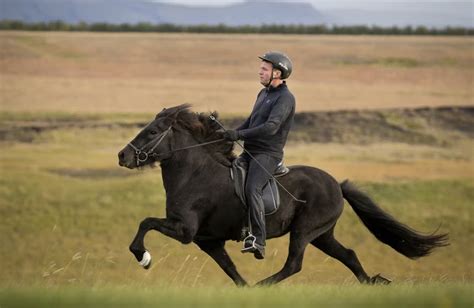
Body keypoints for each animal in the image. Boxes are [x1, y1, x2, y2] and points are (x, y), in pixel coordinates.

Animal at [117, 105, 448, 286]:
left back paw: (264, 284)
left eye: (152, 131)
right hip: (322, 234)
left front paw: (143, 257)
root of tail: (336, 185)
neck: (195, 174)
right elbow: (231, 270)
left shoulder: (185, 230)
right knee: (349, 256)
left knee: (294, 265)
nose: (122, 156)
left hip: (304, 231)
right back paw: (374, 283)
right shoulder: (207, 241)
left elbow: (145, 223)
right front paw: (244, 289)